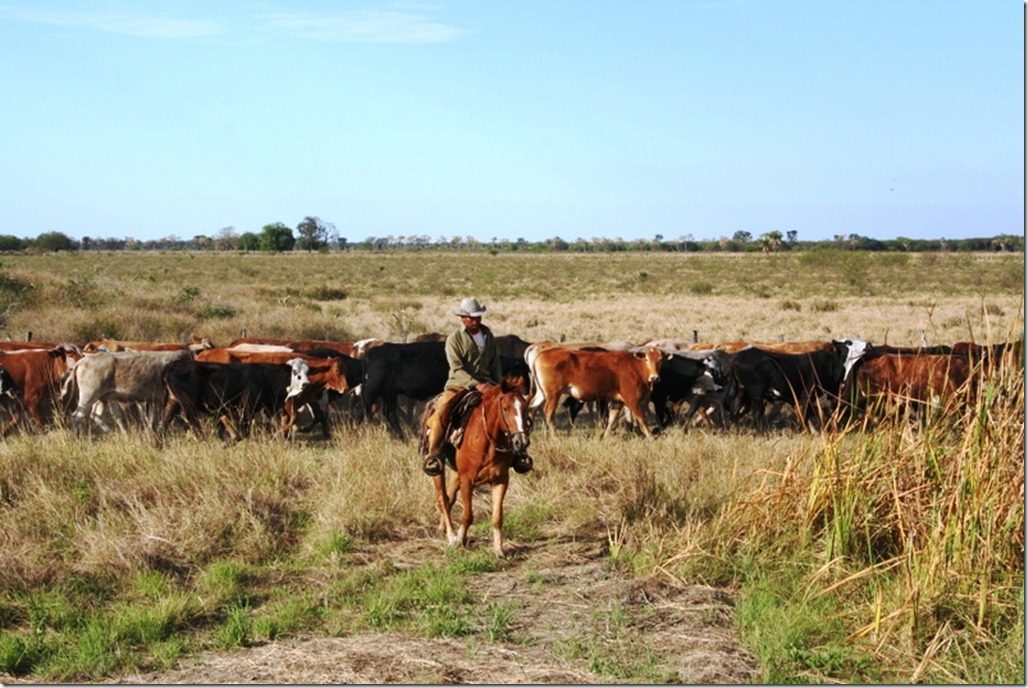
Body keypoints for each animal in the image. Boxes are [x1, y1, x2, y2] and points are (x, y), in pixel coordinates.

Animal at [429, 380, 534, 559]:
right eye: (505, 408)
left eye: (525, 407)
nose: (521, 442)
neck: (486, 442)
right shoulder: (467, 481)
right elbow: (467, 516)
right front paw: (460, 541)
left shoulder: (500, 481)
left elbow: (497, 517)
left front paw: (499, 549)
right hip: (438, 469)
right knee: (442, 498)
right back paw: (451, 534)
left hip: (456, 474)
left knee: (449, 498)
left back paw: (443, 529)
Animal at [526, 345, 662, 438]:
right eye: (646, 359)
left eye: (660, 360)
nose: (654, 377)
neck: (635, 366)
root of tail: (542, 353)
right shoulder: (632, 399)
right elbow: (642, 418)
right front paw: (651, 436)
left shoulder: (618, 402)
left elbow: (612, 419)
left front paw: (605, 436)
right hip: (553, 394)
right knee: (548, 413)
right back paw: (555, 436)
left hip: (542, 394)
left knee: (532, 408)